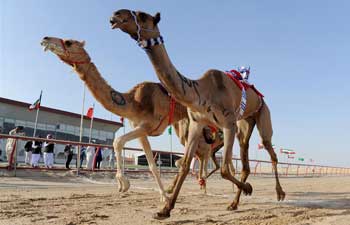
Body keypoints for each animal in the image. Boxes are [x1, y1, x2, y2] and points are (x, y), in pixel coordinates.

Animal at [39, 36, 223, 200]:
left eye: (69, 41)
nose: (45, 38)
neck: (133, 102)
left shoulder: (147, 125)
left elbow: (117, 141)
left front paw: (124, 184)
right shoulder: (141, 130)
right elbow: (151, 164)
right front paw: (164, 196)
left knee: (207, 151)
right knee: (202, 153)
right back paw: (202, 186)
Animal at [110, 9, 286, 218]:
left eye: (142, 15)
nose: (115, 15)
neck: (200, 92)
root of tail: (259, 97)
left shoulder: (228, 123)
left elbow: (224, 169)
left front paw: (249, 188)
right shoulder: (196, 124)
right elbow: (185, 165)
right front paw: (165, 209)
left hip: (262, 114)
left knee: (270, 150)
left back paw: (279, 193)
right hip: (245, 123)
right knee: (245, 161)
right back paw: (234, 203)